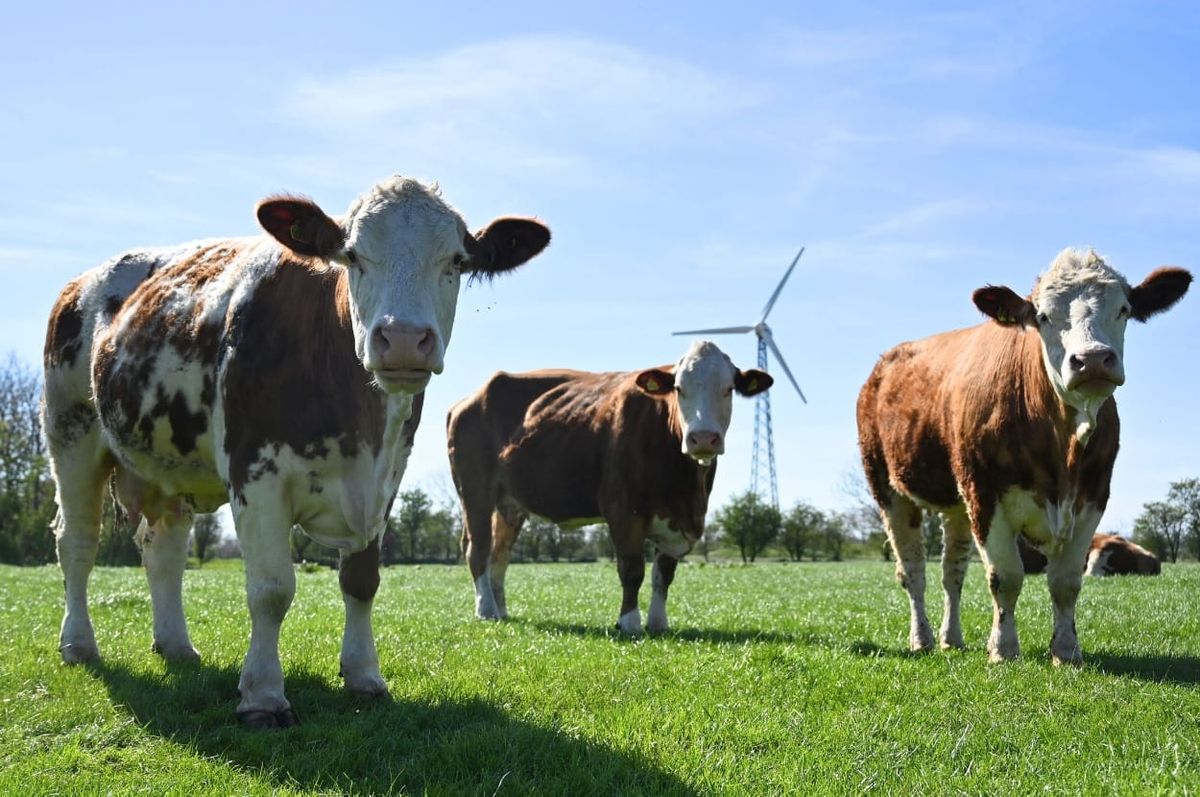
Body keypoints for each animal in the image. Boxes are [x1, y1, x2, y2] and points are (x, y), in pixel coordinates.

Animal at [42, 175, 550, 727]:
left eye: (456, 261)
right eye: (353, 255)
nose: (403, 340)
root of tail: (83, 283)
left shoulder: (386, 478)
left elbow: (362, 581)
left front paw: (364, 676)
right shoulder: (254, 472)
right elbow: (272, 589)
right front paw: (263, 695)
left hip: (167, 462)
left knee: (164, 549)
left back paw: (175, 644)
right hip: (70, 430)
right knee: (78, 541)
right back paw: (79, 645)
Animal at [445, 340, 772, 634]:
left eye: (728, 388)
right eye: (679, 388)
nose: (703, 438)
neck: (685, 487)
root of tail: (468, 400)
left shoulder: (675, 521)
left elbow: (663, 574)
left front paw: (658, 623)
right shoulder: (624, 509)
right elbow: (632, 569)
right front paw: (629, 622)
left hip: (510, 503)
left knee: (499, 554)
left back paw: (500, 609)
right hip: (475, 490)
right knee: (478, 548)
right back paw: (486, 609)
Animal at [856, 248, 1190, 665]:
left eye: (1124, 309)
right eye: (1043, 316)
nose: (1093, 359)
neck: (1061, 447)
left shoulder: (1093, 497)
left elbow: (1066, 581)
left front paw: (1066, 651)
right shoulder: (986, 497)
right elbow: (1006, 577)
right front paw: (1003, 649)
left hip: (957, 500)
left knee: (952, 572)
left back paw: (953, 638)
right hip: (889, 489)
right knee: (913, 571)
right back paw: (924, 639)